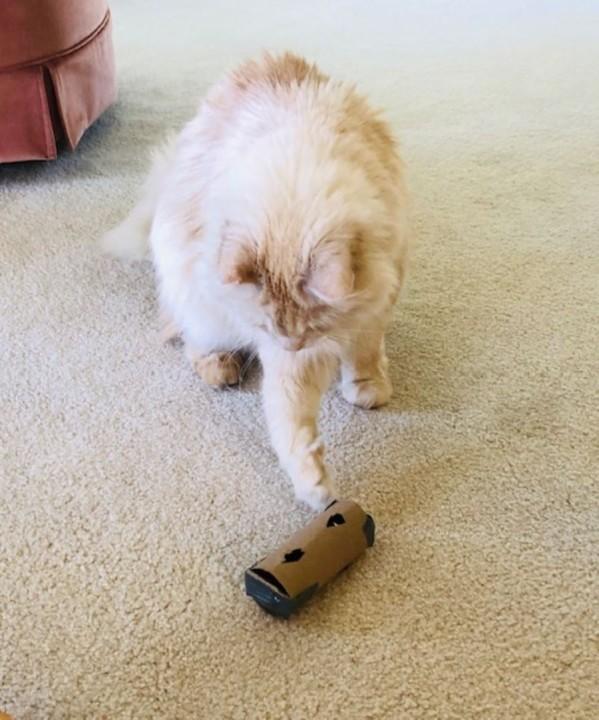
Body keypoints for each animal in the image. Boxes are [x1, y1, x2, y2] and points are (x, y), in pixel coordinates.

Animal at [104, 50, 412, 512]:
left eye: (313, 326)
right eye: (270, 327)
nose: (291, 344)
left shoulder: (377, 299)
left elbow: (364, 354)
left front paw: (367, 387)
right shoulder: (289, 360)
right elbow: (292, 425)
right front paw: (316, 490)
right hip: (200, 305)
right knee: (192, 342)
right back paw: (222, 368)